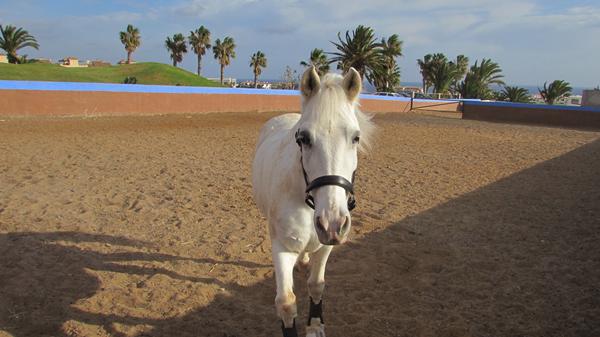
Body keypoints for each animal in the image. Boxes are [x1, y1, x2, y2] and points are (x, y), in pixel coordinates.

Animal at [251, 66, 372, 336]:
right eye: (303, 138)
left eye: (356, 138)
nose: (332, 223)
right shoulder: (282, 247)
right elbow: (286, 303)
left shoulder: (326, 245)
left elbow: (317, 284)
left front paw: (316, 325)